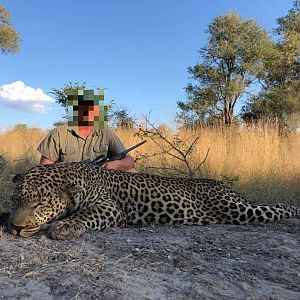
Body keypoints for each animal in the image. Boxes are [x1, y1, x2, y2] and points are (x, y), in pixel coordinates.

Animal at [9, 161, 300, 240]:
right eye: (15, 201)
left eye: (40, 204)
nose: (16, 228)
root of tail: (224, 185)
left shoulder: (110, 207)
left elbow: (86, 214)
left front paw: (65, 226)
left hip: (235, 209)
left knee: (273, 209)